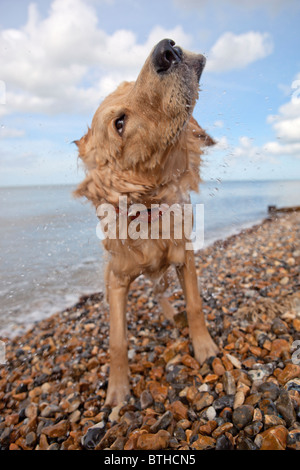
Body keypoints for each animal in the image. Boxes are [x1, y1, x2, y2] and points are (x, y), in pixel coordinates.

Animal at [72, 38, 218, 406]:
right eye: (119, 124)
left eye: (130, 83)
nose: (167, 49)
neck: (150, 217)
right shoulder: (117, 280)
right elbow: (117, 341)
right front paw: (117, 391)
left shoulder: (184, 257)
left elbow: (195, 305)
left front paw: (204, 347)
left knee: (162, 293)